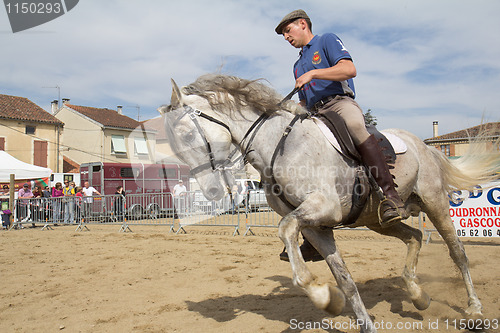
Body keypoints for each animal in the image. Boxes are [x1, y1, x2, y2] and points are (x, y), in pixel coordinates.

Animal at [160, 74, 500, 330]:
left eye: (187, 135)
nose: (211, 192)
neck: (279, 146)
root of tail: (425, 145)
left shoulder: (325, 209)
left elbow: (285, 230)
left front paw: (319, 291)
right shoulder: (316, 227)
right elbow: (344, 279)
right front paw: (340, 306)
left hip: (434, 204)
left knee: (458, 253)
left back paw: (474, 309)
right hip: (378, 221)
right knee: (415, 236)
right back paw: (417, 295)